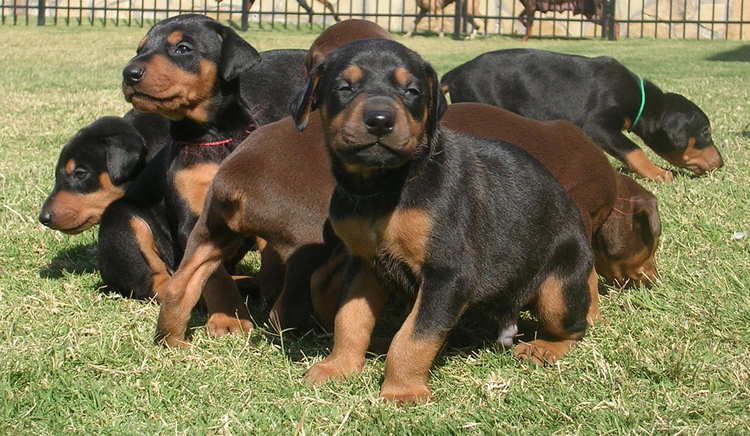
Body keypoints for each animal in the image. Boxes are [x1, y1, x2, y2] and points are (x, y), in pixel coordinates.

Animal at [290, 40, 596, 402]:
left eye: (412, 91)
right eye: (344, 87)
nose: (379, 121)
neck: (382, 186)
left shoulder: (448, 273)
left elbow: (414, 336)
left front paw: (402, 391)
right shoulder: (363, 265)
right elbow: (349, 319)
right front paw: (338, 367)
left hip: (557, 289)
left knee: (574, 326)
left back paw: (545, 348)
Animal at [444, 48, 724, 181]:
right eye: (705, 132)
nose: (722, 163)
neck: (639, 99)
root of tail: (455, 73)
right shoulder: (597, 126)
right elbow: (634, 150)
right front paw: (657, 173)